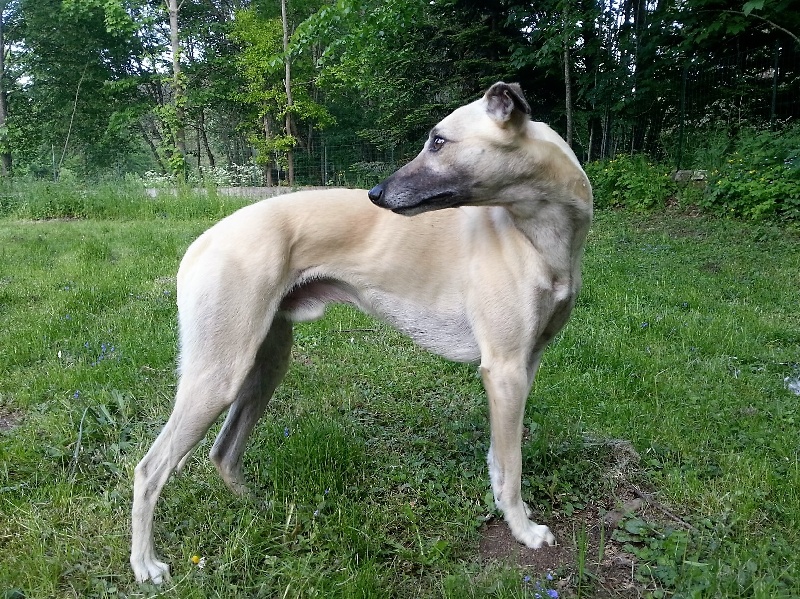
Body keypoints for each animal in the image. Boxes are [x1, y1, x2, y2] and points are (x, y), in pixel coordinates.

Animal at [130, 82, 593, 583]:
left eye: (439, 141)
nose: (376, 194)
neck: (540, 236)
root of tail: (203, 241)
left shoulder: (527, 363)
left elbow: (497, 459)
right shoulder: (504, 370)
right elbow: (512, 466)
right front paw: (524, 531)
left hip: (265, 364)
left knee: (223, 453)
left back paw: (261, 511)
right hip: (219, 373)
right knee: (149, 470)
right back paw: (145, 564)